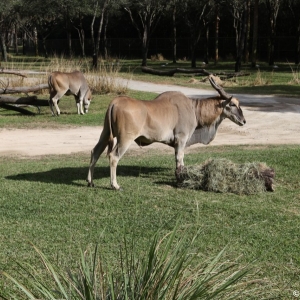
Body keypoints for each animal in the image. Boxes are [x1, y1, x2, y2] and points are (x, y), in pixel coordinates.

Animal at [86, 76, 246, 189]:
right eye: (233, 104)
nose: (243, 121)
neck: (193, 108)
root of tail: (115, 102)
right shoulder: (181, 139)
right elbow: (179, 159)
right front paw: (179, 179)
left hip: (105, 134)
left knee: (95, 152)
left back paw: (90, 182)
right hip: (125, 139)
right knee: (113, 156)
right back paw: (115, 185)